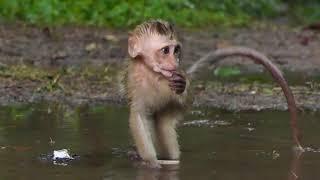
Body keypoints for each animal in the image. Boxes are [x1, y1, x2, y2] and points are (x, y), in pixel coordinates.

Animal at [126, 19, 302, 167]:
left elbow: (184, 97)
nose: (174, 62)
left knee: (165, 123)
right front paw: (151, 162)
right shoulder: (135, 81)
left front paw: (182, 86)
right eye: (165, 51)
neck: (154, 74)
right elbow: (139, 115)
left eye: (176, 50)